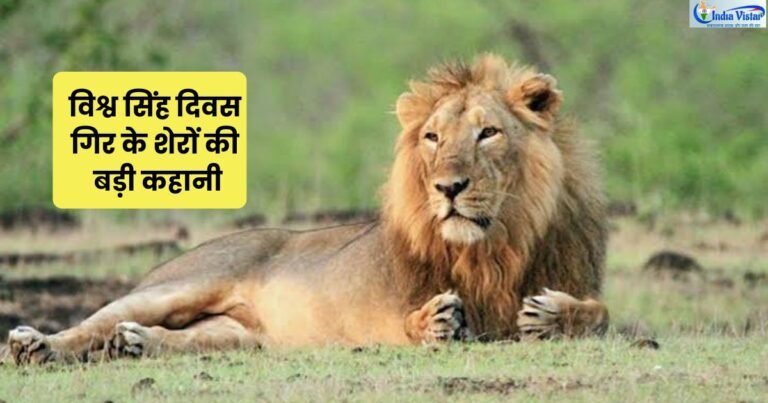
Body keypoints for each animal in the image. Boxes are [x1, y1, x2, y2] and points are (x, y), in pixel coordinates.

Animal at [7, 54, 608, 365]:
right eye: (433, 137)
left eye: (488, 133)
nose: (448, 188)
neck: (496, 247)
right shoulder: (382, 314)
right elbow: (407, 322)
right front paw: (435, 322)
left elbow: (600, 315)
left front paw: (553, 315)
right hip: (178, 285)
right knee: (91, 324)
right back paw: (34, 346)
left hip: (242, 336)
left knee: (182, 339)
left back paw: (136, 343)